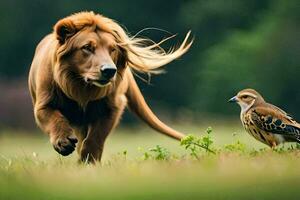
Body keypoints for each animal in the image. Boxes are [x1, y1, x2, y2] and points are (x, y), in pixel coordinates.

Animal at [28, 11, 192, 162]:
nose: (109, 70)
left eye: (112, 49)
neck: (81, 87)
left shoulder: (113, 105)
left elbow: (96, 137)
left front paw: (89, 160)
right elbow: (54, 119)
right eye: (87, 47)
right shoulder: (43, 102)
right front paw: (63, 143)